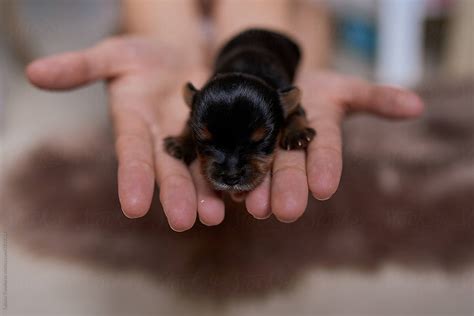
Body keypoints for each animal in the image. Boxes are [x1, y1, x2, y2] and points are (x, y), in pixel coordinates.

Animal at [165, 29, 316, 193]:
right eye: (203, 139)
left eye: (261, 140)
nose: (231, 177)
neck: (245, 70)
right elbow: (188, 123)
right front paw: (181, 143)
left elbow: (296, 113)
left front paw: (297, 134)